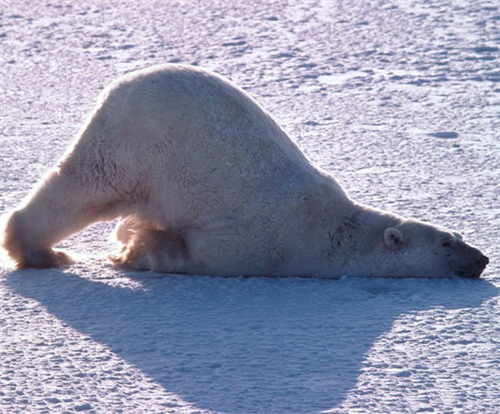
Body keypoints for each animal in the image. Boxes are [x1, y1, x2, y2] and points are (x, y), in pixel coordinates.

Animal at [1, 64, 490, 278]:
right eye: (447, 243)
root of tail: (124, 83)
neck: (327, 231)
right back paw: (43, 253)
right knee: (86, 187)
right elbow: (193, 251)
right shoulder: (259, 243)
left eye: (459, 235)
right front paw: (135, 247)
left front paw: (128, 240)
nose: (482, 259)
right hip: (135, 145)